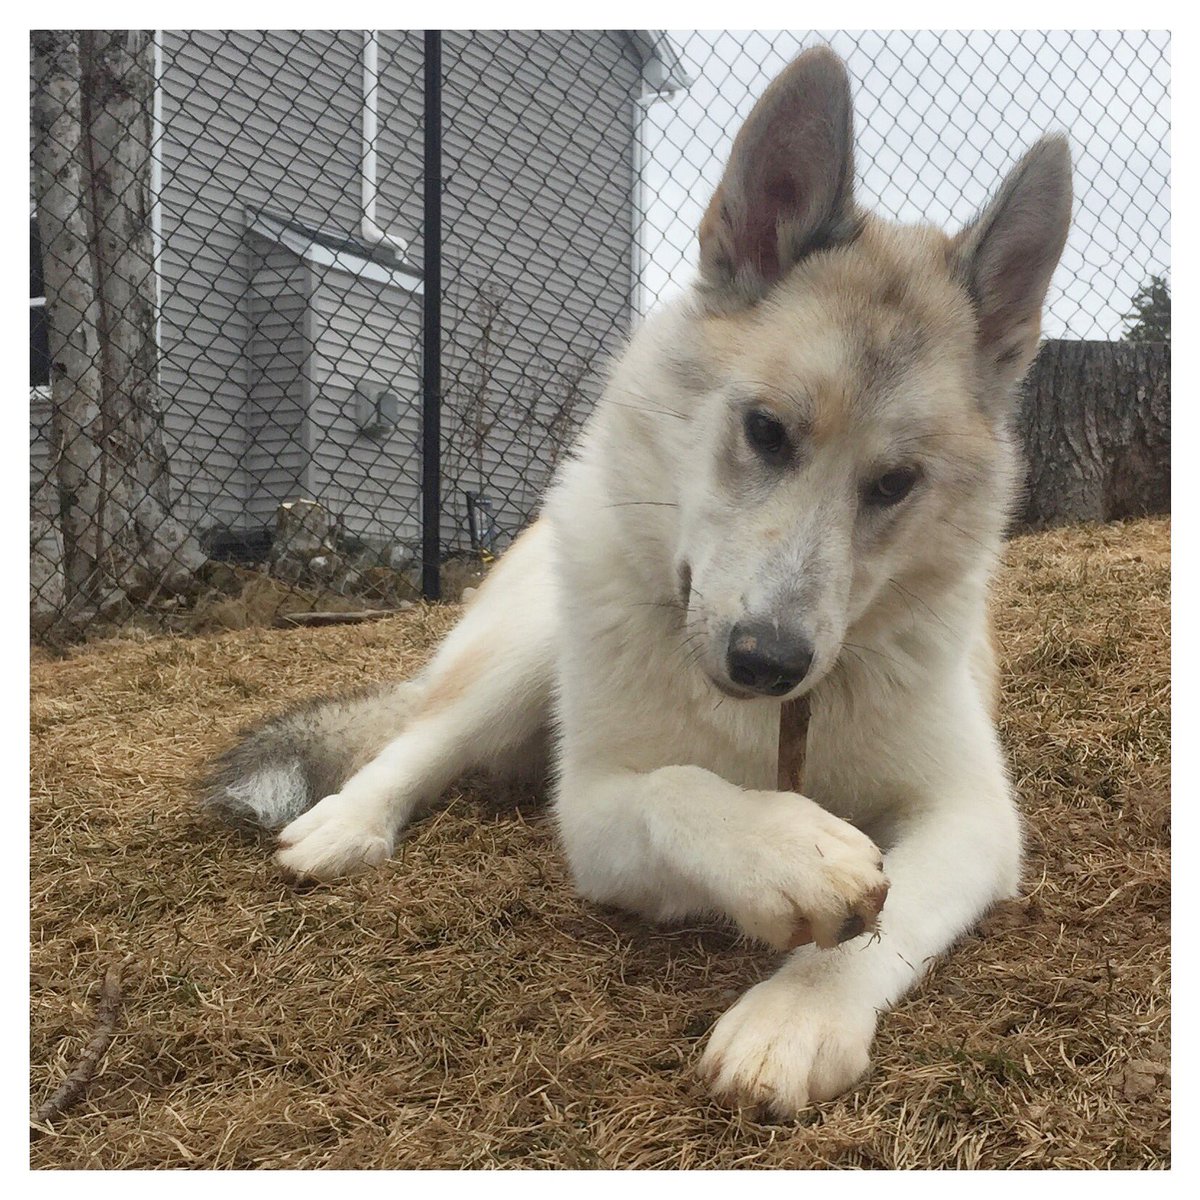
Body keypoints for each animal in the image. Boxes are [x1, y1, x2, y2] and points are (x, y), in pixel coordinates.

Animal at [205, 46, 1072, 1116]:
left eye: (894, 484)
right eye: (767, 431)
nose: (767, 661)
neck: (770, 724)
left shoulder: (972, 817)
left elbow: (888, 908)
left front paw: (799, 1011)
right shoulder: (595, 814)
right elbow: (678, 790)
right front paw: (782, 851)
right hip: (528, 647)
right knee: (420, 741)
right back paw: (345, 824)